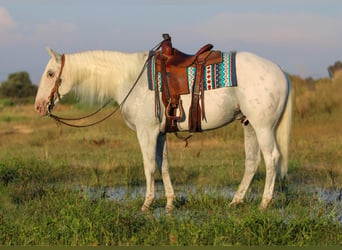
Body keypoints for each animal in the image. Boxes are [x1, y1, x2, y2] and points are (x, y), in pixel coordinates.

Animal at [34, 45, 292, 211]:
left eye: (50, 74)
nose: (38, 106)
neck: (130, 79)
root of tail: (281, 72)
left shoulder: (146, 131)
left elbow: (149, 166)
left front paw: (147, 203)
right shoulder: (159, 134)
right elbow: (163, 165)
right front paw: (169, 202)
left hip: (263, 127)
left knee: (272, 158)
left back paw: (264, 203)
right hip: (249, 126)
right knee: (252, 162)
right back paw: (236, 201)